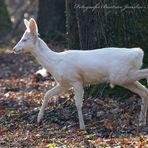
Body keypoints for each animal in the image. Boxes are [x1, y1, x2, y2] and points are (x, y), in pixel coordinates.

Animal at [13, 18, 148, 130]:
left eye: (24, 39)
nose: (14, 49)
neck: (55, 63)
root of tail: (138, 53)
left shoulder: (76, 79)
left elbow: (78, 103)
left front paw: (82, 127)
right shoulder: (64, 83)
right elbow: (47, 94)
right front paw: (39, 119)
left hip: (121, 75)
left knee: (145, 76)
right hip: (125, 78)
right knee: (144, 91)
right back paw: (141, 121)